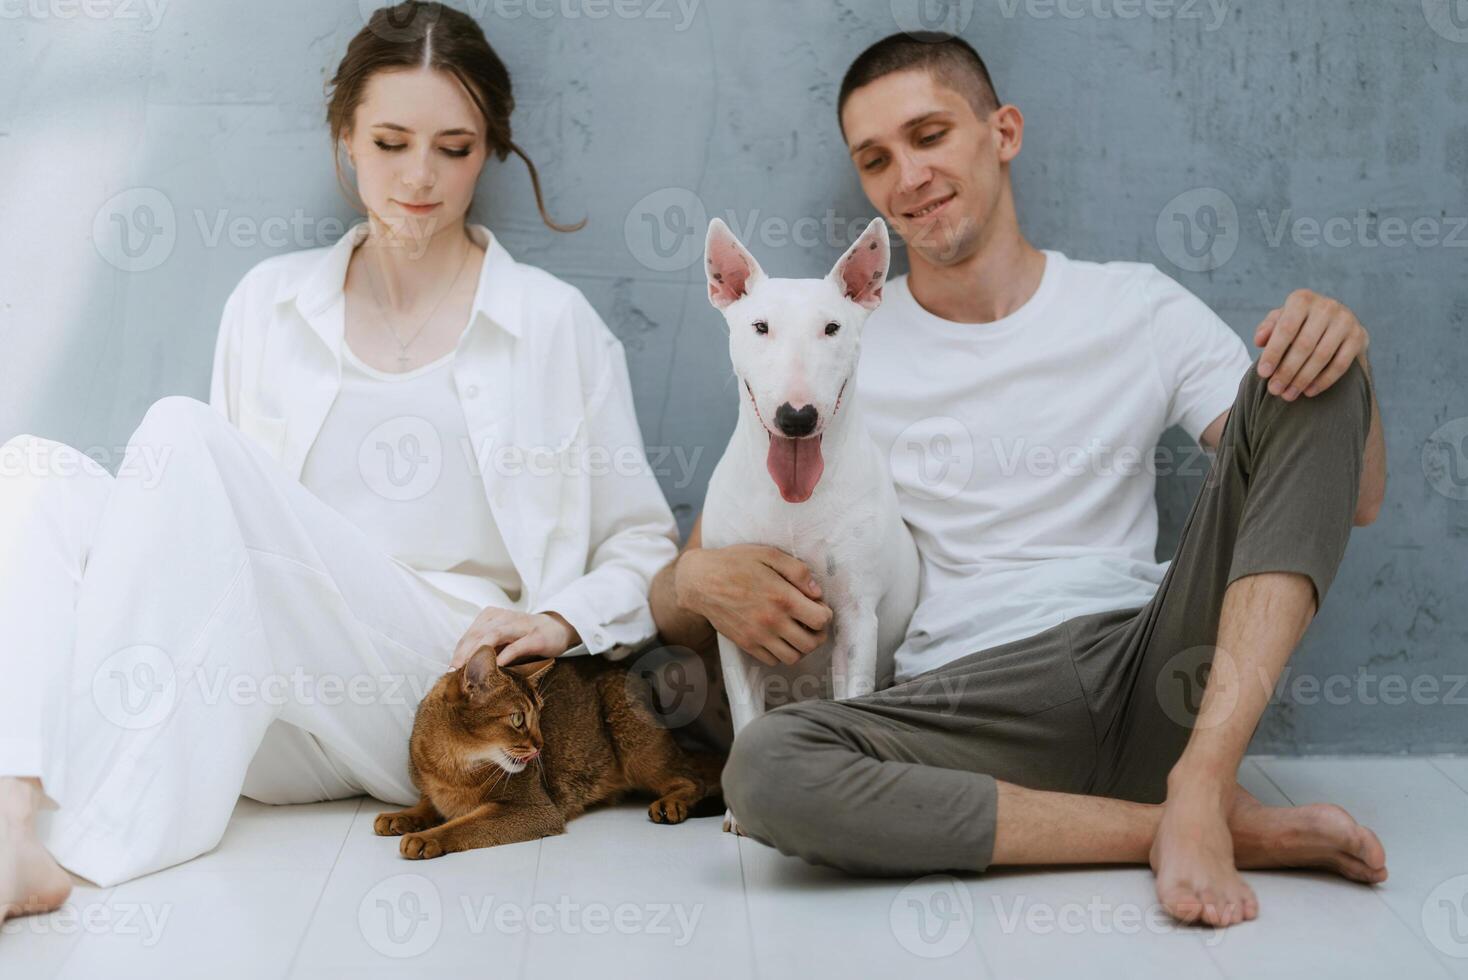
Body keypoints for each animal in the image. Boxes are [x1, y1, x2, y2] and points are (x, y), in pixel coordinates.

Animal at [375, 642, 725, 856]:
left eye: (539, 715)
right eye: (518, 718)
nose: (541, 745)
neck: (454, 765)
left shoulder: (536, 810)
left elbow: (464, 825)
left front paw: (426, 838)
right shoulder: (433, 789)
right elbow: (428, 804)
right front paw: (402, 817)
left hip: (637, 748)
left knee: (693, 779)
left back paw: (672, 804)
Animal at [698, 214, 916, 827]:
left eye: (833, 327)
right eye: (760, 327)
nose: (797, 418)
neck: (793, 504)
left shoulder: (857, 616)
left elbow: (852, 697)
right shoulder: (734, 620)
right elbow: (746, 711)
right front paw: (739, 813)